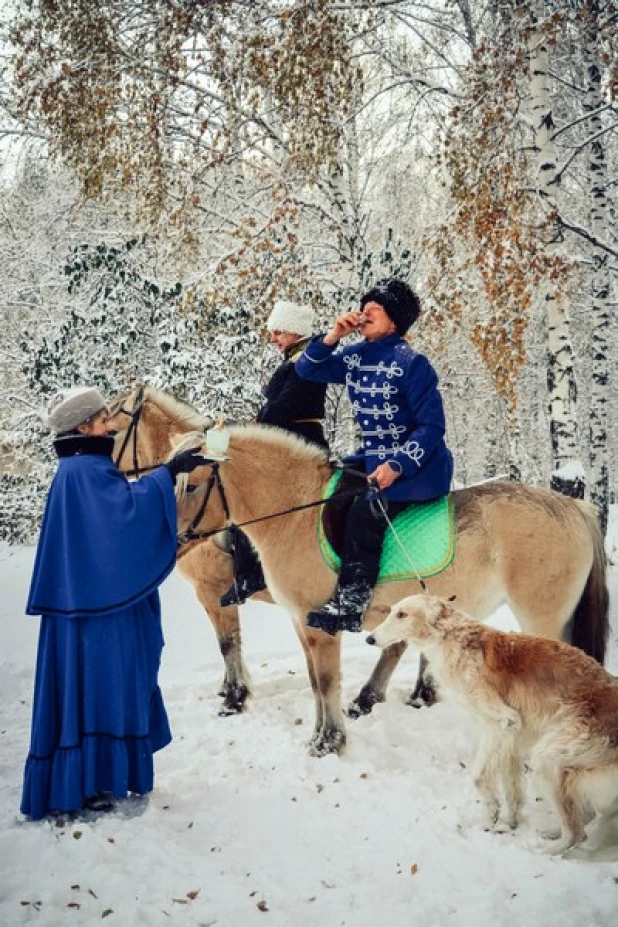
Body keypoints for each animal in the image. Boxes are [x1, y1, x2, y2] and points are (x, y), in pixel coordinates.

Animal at [108, 384, 608, 752]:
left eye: (192, 483)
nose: (167, 538)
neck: (294, 513)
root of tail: (576, 506)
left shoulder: (258, 606)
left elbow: (302, 672)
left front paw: (322, 739)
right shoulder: (301, 622)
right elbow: (314, 682)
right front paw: (318, 735)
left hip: (542, 616)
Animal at [366, 600, 616, 860]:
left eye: (402, 614)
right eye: (391, 611)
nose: (369, 639)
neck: (451, 637)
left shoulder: (503, 723)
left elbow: (478, 777)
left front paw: (493, 816)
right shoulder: (508, 737)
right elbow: (512, 791)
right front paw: (506, 824)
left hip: (549, 759)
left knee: (576, 832)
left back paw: (544, 852)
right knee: (583, 818)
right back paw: (553, 834)